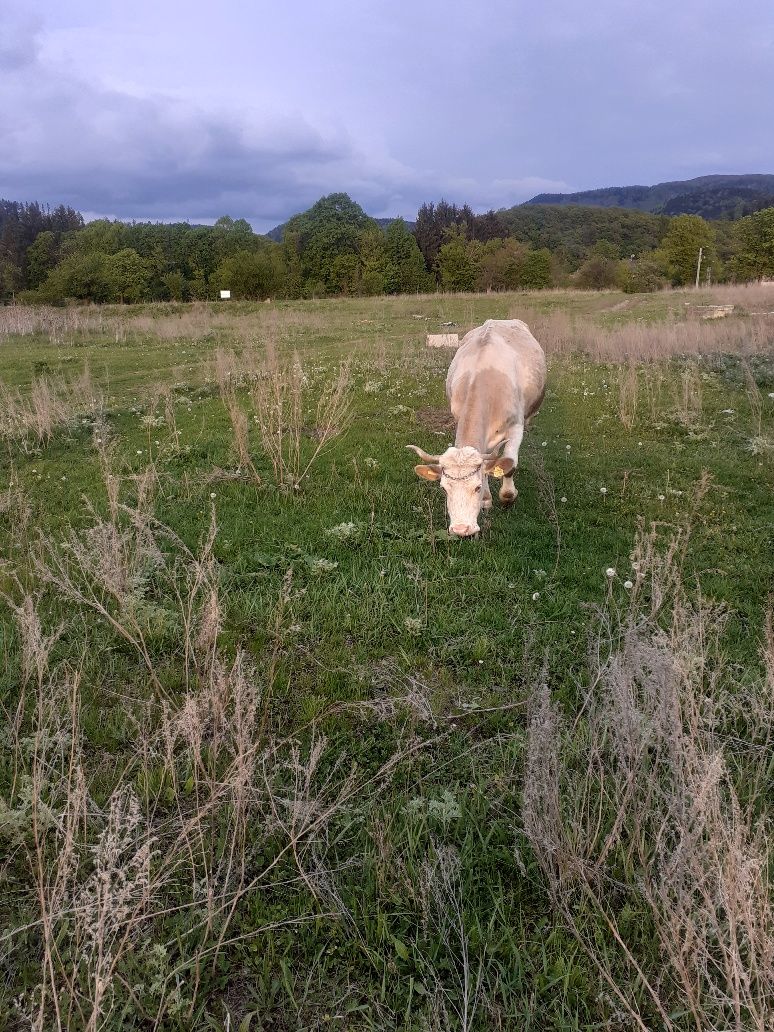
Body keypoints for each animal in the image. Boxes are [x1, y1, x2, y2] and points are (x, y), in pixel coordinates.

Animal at [408, 317, 549, 536]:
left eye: (475, 487)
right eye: (443, 489)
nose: (461, 528)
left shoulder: (515, 427)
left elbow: (509, 464)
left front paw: (508, 497)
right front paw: (486, 499)